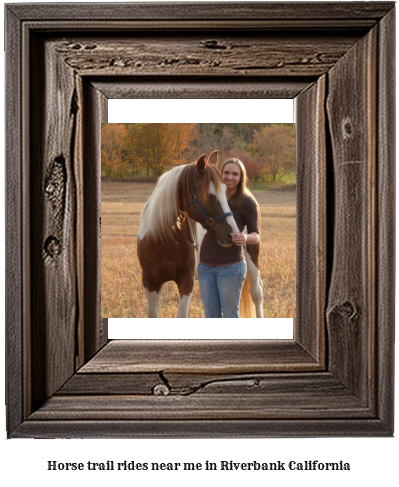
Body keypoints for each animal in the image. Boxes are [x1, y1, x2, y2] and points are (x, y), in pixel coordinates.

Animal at [138, 151, 266, 318]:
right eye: (209, 195)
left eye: (225, 191)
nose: (232, 233)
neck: (163, 240)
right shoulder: (150, 283)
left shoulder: (186, 282)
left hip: (252, 256)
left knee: (256, 292)